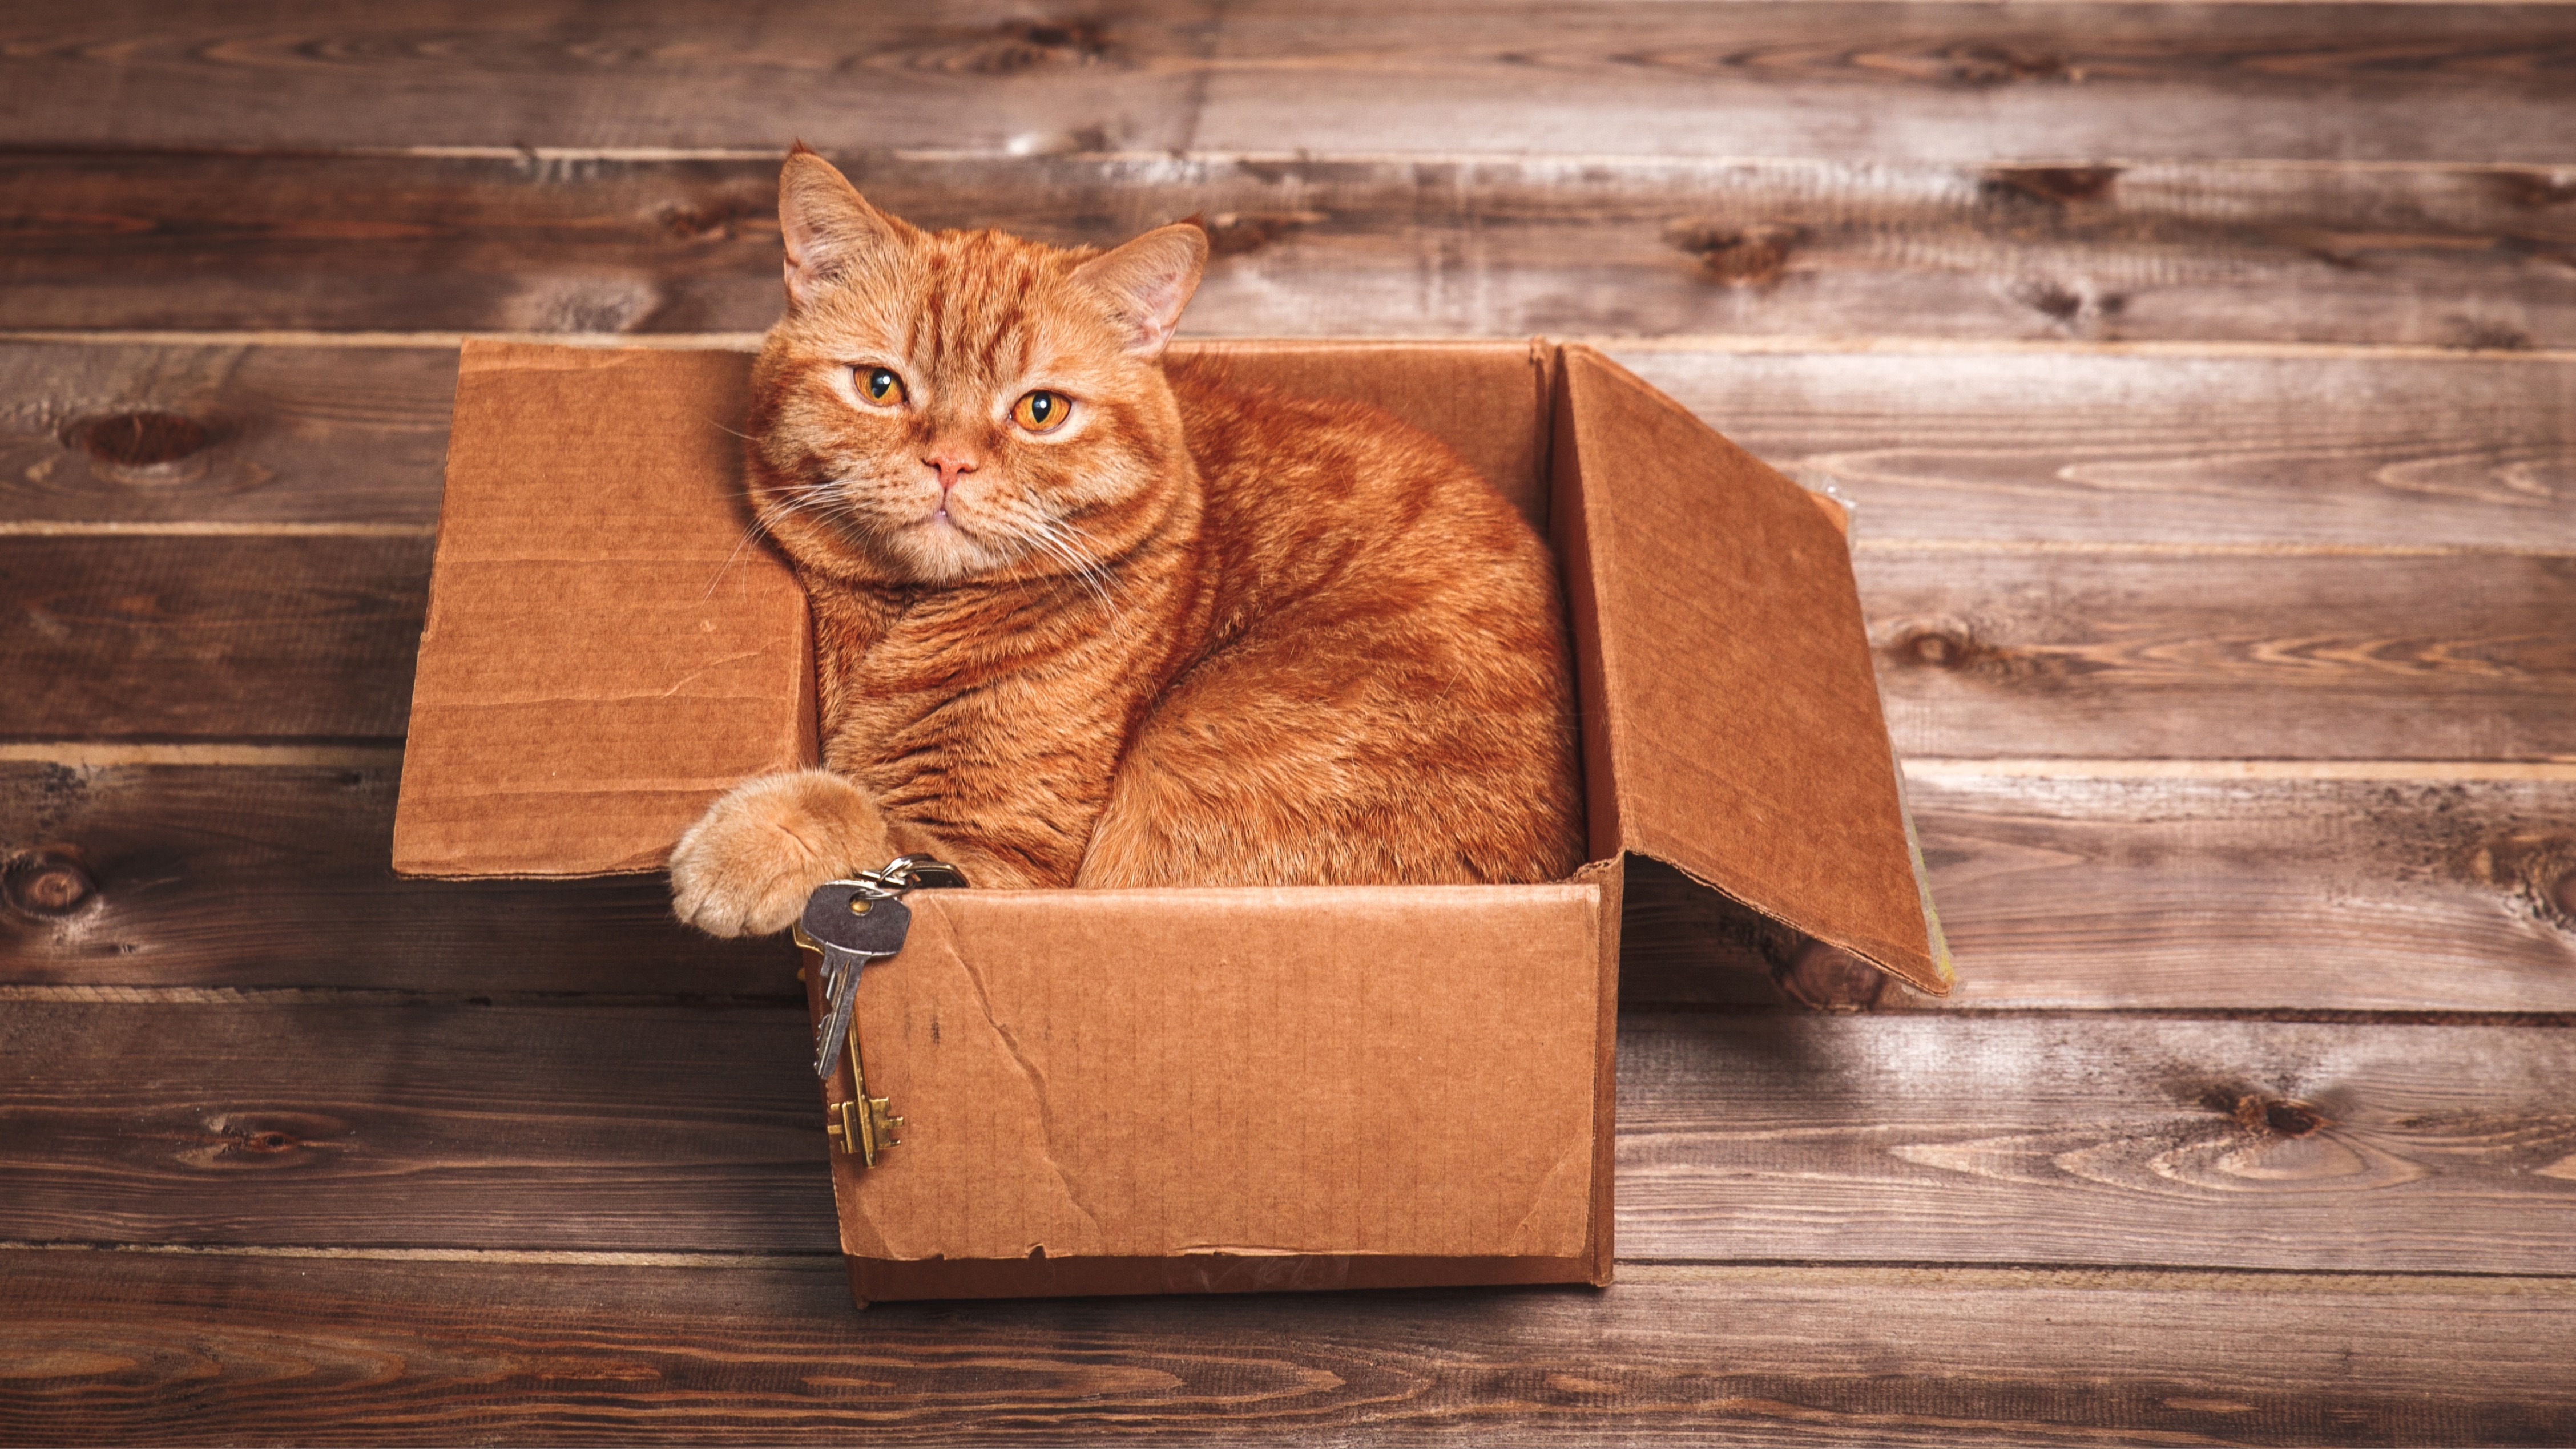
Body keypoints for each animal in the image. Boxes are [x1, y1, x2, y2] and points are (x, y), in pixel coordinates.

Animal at [664, 150, 1587, 942]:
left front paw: (744, 847)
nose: (949, 462)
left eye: (1040, 410)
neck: (902, 620)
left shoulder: (996, 861)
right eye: (880, 386)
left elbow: (851, 813)